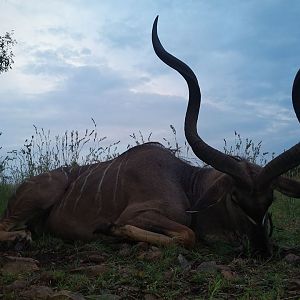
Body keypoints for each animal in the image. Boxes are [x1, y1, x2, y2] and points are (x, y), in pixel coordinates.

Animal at [0, 17, 300, 255]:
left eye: (270, 200)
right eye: (235, 198)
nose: (262, 251)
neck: (185, 183)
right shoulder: (138, 214)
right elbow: (187, 234)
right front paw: (111, 231)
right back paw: (21, 238)